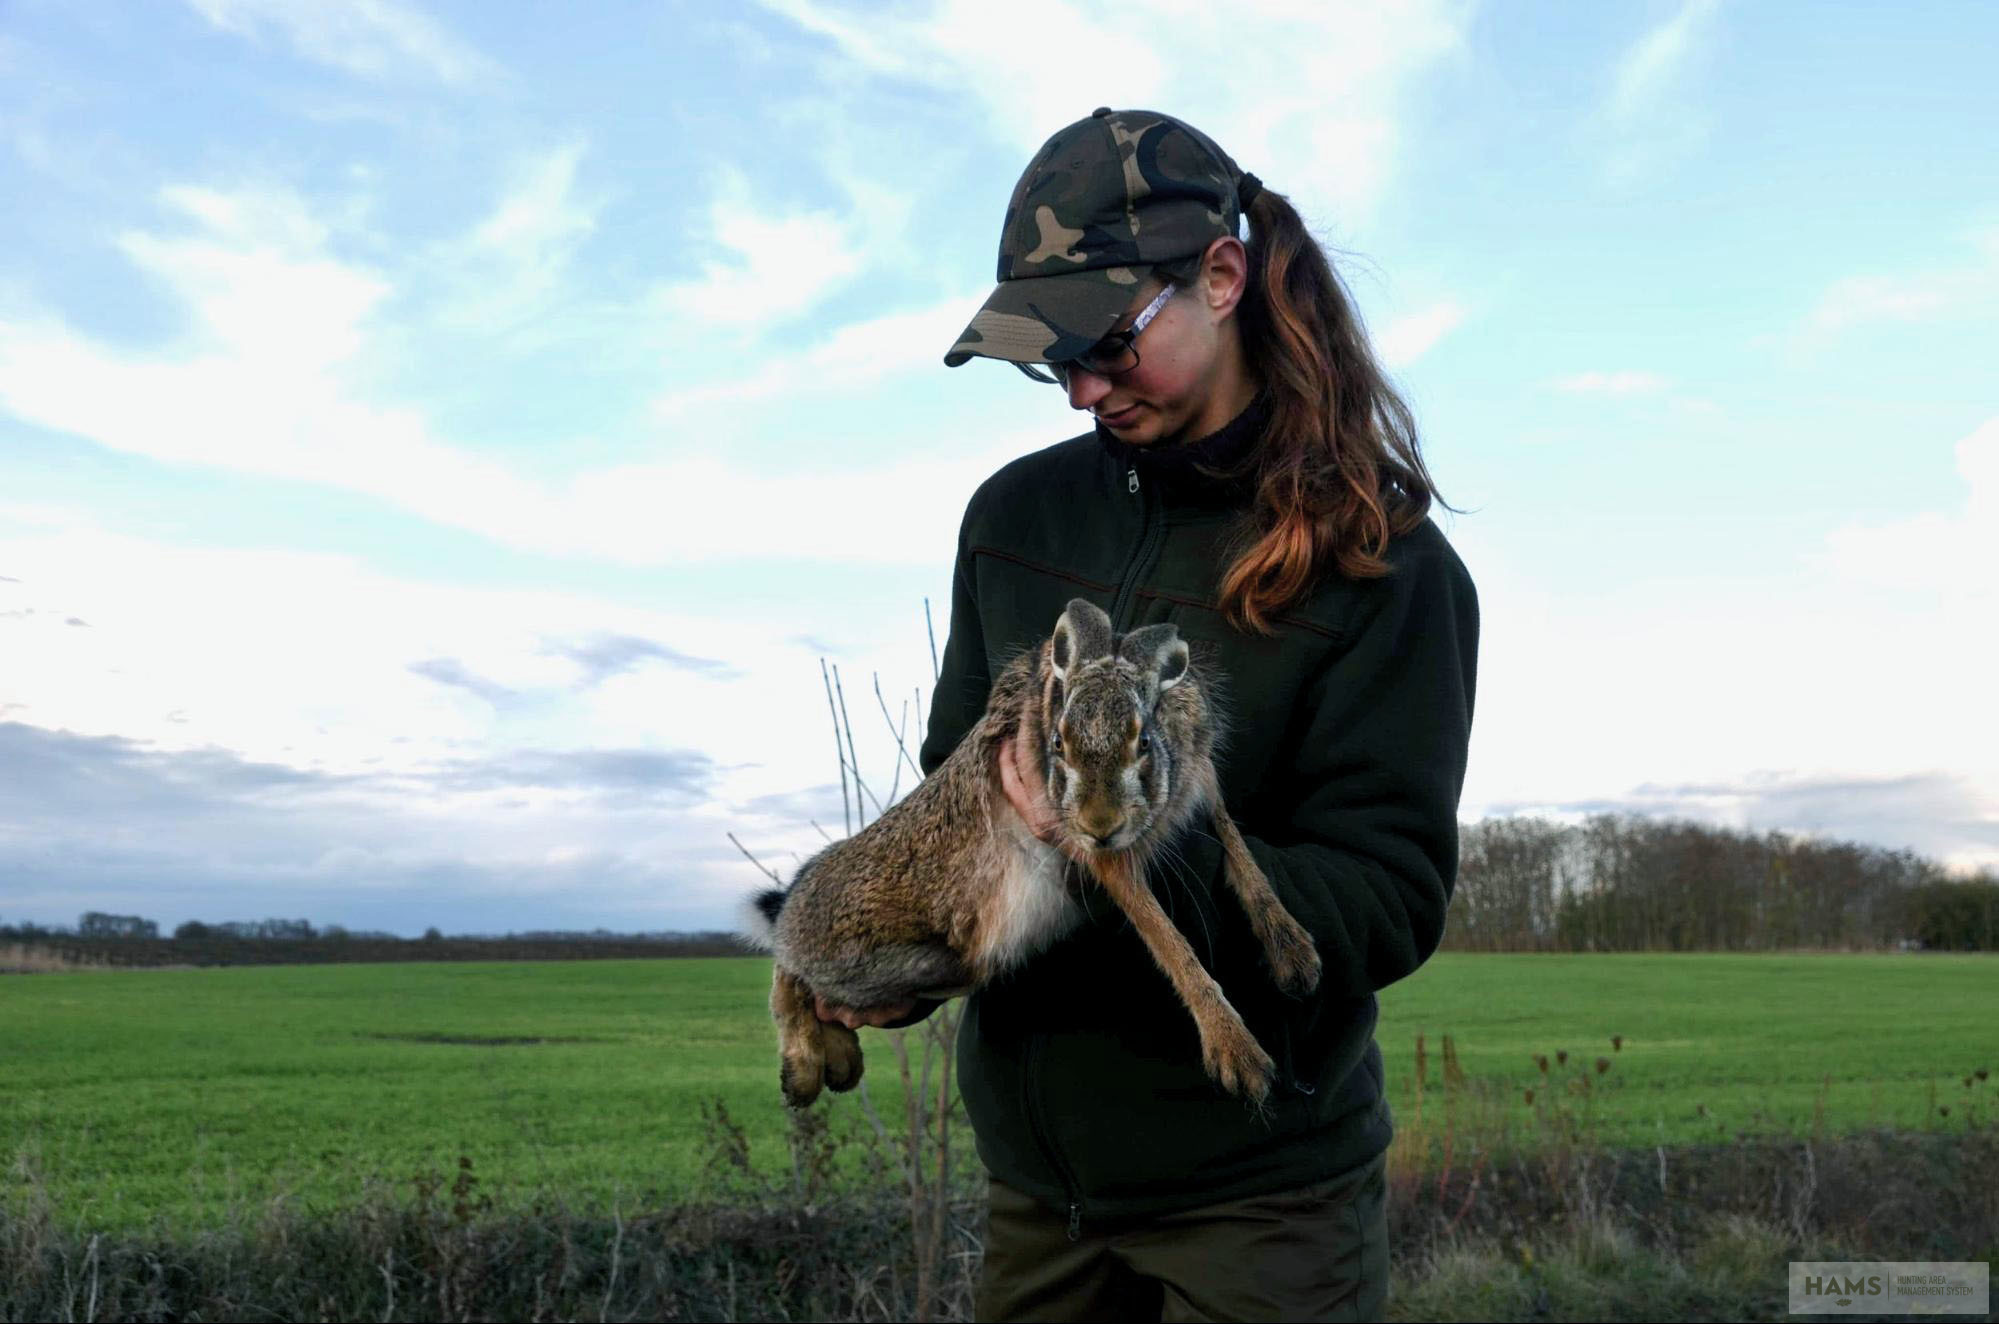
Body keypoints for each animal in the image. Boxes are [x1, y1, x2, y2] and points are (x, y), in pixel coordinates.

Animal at [743, 597, 1322, 1110]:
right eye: (1058, 744)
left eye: (1143, 743)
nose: (1099, 824)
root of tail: (795, 898)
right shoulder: (1095, 848)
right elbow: (1167, 937)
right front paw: (1240, 1057)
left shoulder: (1200, 784)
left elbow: (1237, 849)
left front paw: (1295, 956)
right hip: (864, 957)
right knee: (788, 970)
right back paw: (804, 1072)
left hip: (930, 969)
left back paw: (837, 1060)